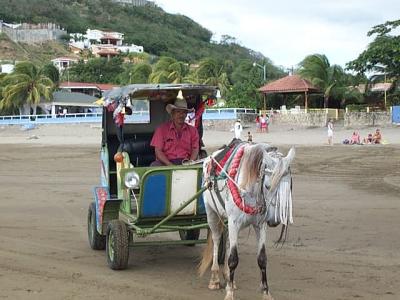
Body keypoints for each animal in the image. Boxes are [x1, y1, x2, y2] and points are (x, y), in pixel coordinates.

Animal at [199, 143, 294, 300]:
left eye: (289, 187)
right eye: (267, 186)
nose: (274, 221)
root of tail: (210, 158)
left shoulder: (260, 225)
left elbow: (262, 258)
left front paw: (266, 292)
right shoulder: (234, 223)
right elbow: (233, 259)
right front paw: (229, 294)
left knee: (227, 242)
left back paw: (228, 278)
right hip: (211, 213)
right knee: (217, 240)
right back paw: (215, 278)